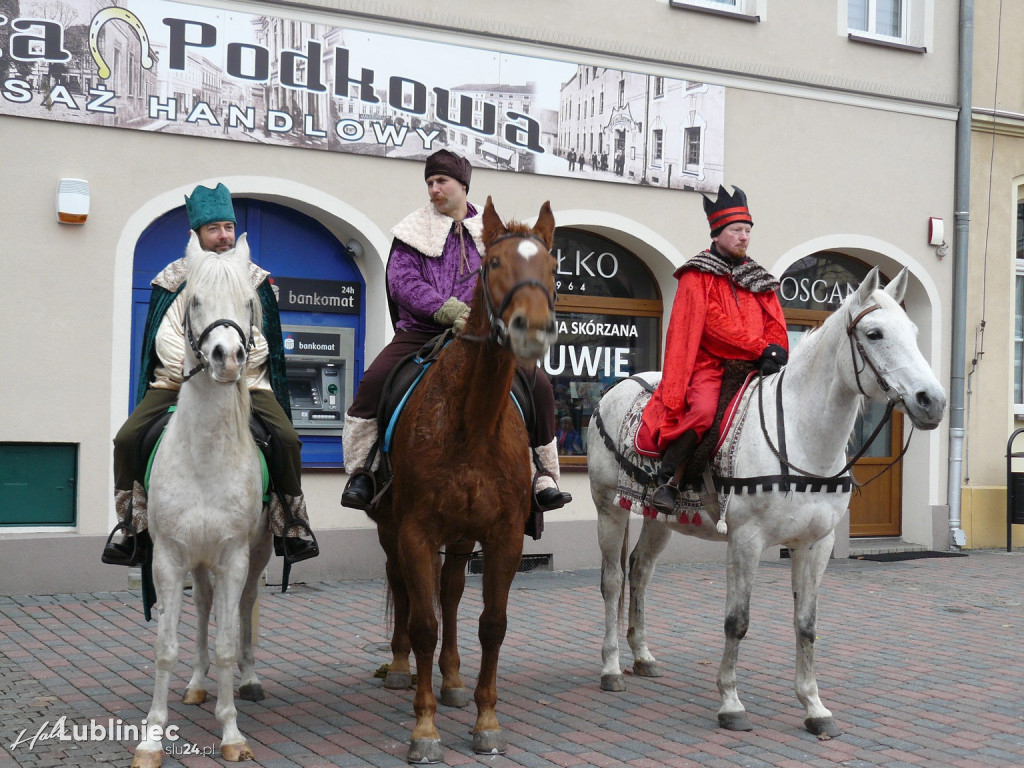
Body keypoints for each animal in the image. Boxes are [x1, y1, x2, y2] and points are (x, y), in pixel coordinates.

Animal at [133, 236, 272, 768]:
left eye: (249, 304)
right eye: (192, 301)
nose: (227, 356)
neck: (206, 454)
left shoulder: (233, 556)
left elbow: (229, 642)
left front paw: (231, 732)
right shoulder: (170, 558)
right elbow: (165, 647)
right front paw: (152, 738)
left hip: (256, 553)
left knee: (244, 605)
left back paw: (249, 680)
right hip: (196, 560)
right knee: (204, 605)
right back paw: (195, 683)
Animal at [368, 198, 557, 765]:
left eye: (552, 267)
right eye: (492, 264)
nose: (531, 328)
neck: (472, 424)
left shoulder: (504, 536)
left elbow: (490, 624)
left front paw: (485, 720)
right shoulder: (414, 531)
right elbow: (423, 624)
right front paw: (424, 728)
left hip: (459, 537)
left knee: (450, 593)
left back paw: (451, 680)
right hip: (392, 531)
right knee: (405, 590)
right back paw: (402, 669)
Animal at [589, 268, 946, 737]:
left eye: (914, 332)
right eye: (874, 333)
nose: (933, 401)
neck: (801, 437)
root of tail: (621, 385)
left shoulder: (816, 545)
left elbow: (807, 625)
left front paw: (814, 707)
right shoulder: (746, 541)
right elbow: (737, 621)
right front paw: (730, 702)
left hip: (657, 518)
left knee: (640, 571)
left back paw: (643, 656)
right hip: (609, 510)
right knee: (613, 581)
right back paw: (612, 667)